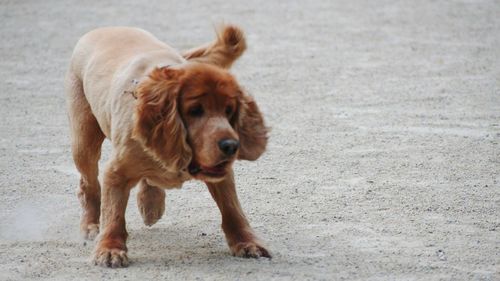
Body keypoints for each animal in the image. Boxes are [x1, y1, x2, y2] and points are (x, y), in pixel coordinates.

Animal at [66, 24, 272, 266]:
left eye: (229, 110)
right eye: (195, 111)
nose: (231, 145)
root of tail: (105, 28)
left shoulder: (221, 175)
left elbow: (232, 209)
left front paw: (247, 242)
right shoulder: (116, 172)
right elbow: (113, 213)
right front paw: (109, 249)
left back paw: (151, 202)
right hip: (83, 140)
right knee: (88, 184)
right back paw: (90, 224)